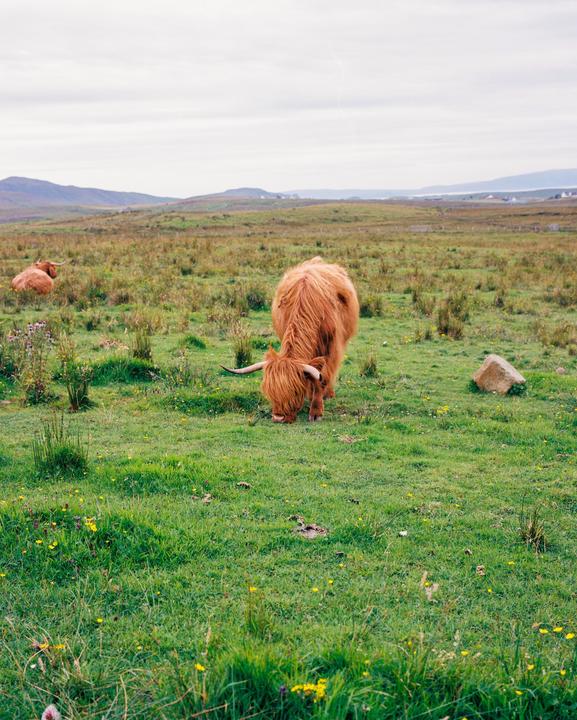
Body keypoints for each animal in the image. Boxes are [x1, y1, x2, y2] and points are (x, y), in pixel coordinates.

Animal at [222, 257, 359, 423]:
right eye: (270, 391)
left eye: (295, 391)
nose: (278, 417)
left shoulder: (331, 347)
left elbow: (323, 377)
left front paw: (316, 411)